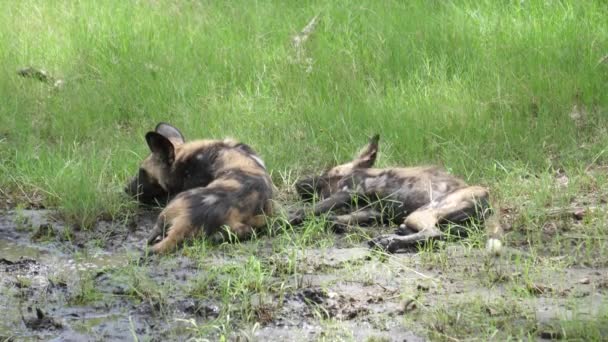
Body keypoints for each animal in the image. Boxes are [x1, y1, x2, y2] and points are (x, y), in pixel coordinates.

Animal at [126, 123, 274, 254]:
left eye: (142, 172)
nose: (126, 189)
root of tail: (188, 219)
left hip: (170, 207)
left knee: (152, 237)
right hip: (246, 229)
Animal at [290, 134, 504, 254]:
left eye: (327, 173)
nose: (298, 184)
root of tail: (488, 198)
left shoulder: (346, 192)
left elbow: (306, 211)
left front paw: (285, 221)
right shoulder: (372, 211)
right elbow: (334, 218)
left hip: (424, 211)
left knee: (433, 234)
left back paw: (388, 242)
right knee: (440, 234)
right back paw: (395, 235)